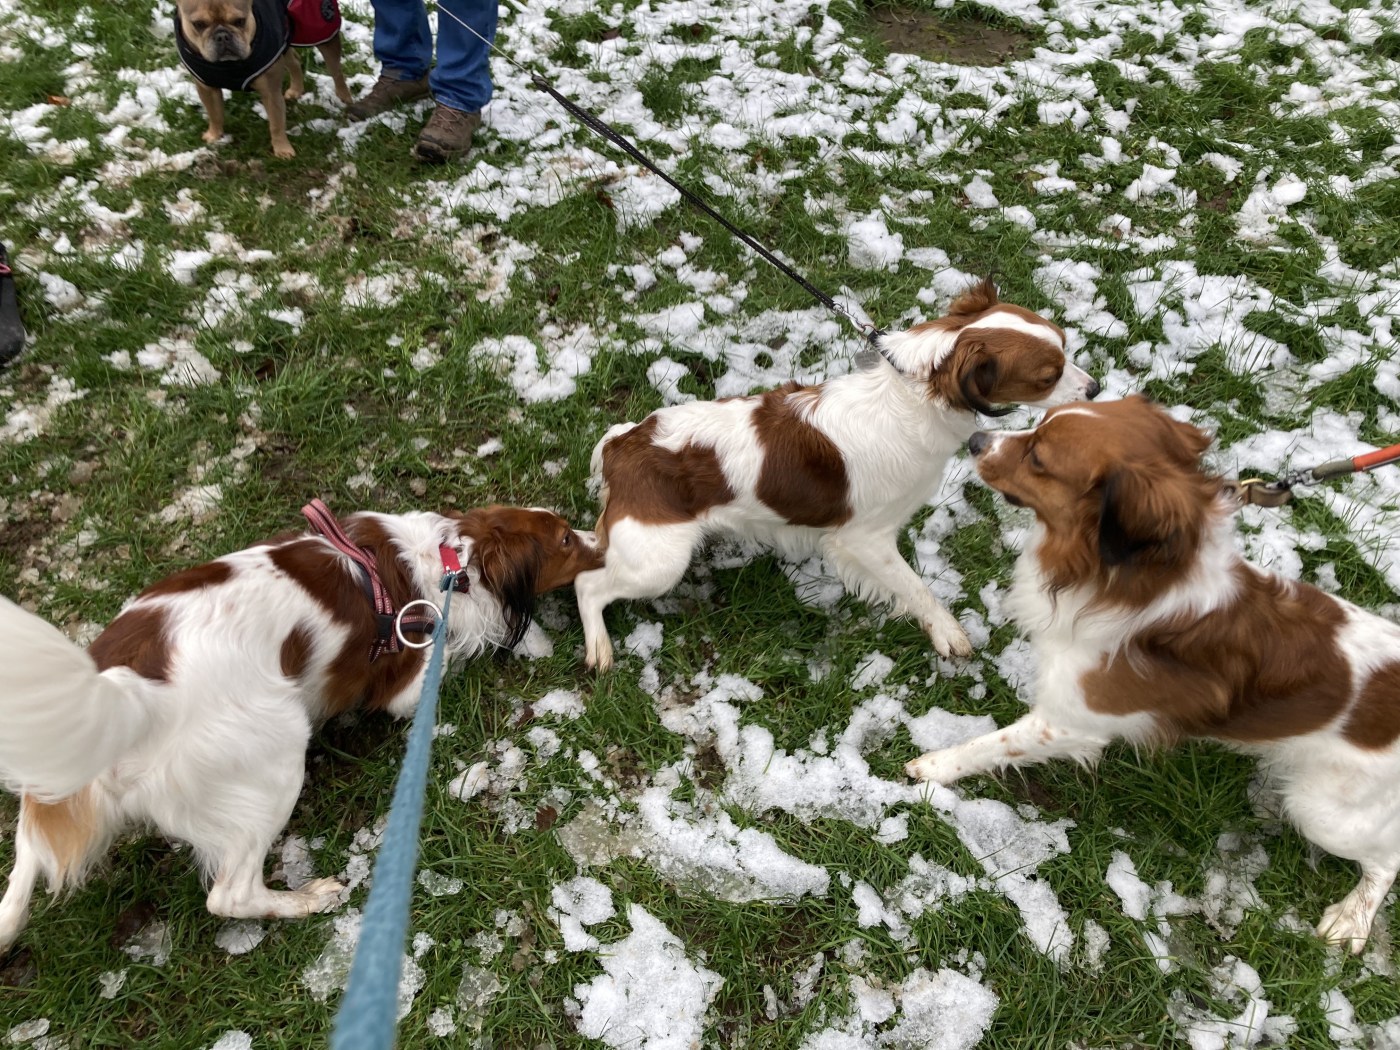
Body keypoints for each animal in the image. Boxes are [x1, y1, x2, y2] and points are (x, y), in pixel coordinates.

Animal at [0, 503, 600, 952]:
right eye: (566, 539)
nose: (600, 541)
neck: (453, 557)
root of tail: (121, 698)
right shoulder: (408, 676)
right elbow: (449, 651)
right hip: (274, 752)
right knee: (230, 894)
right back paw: (308, 899)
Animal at [174, 0, 353, 158]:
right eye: (199, 24)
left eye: (240, 21)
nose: (222, 36)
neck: (228, 64)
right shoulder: (206, 88)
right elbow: (214, 113)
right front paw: (214, 135)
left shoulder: (271, 92)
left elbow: (276, 124)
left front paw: (282, 150)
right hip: (285, 37)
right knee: (294, 61)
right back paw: (296, 89)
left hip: (319, 30)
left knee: (336, 70)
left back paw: (345, 97)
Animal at [574, 278, 1100, 670]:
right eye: (1048, 376)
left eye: (1066, 348)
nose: (1095, 388)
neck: (914, 399)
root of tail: (625, 442)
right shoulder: (865, 537)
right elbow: (915, 587)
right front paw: (947, 632)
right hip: (660, 560)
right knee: (588, 585)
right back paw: (600, 648)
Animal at [906, 395, 1400, 951]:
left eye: (1038, 458)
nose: (974, 441)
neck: (1122, 580)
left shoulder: (1073, 722)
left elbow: (995, 744)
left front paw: (935, 765)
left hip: (1322, 809)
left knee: (1387, 859)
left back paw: (1350, 918)